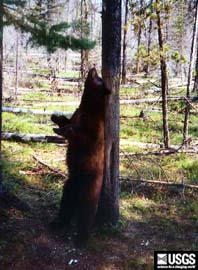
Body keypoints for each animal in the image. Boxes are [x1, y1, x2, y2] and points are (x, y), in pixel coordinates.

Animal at [50, 68, 110, 245]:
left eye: (99, 78)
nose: (93, 68)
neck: (88, 108)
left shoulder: (95, 126)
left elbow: (84, 137)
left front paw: (65, 130)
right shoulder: (78, 113)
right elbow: (67, 120)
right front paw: (56, 118)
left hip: (91, 184)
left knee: (86, 211)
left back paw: (82, 237)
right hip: (71, 183)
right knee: (67, 200)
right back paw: (59, 222)